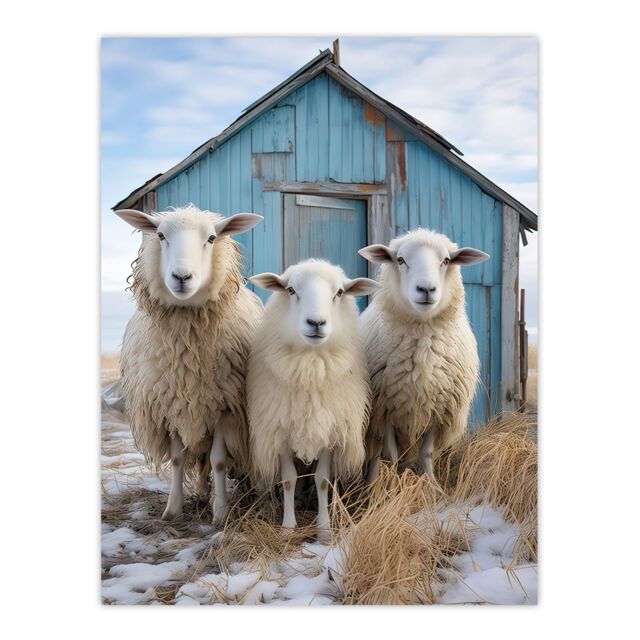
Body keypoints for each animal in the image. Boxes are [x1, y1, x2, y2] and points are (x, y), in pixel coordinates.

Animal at [114, 205, 264, 524]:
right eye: (160, 235)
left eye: (211, 238)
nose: (182, 277)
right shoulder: (168, 406)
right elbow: (178, 459)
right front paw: (173, 509)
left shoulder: (225, 407)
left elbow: (219, 461)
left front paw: (220, 513)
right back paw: (201, 490)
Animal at [247, 260, 381, 539]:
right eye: (290, 290)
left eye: (339, 292)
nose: (316, 322)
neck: (310, 366)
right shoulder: (280, 431)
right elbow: (288, 480)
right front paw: (288, 527)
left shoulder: (330, 432)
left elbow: (323, 480)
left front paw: (324, 529)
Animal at [358, 228, 489, 482]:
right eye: (400, 260)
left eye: (446, 260)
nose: (426, 289)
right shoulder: (384, 411)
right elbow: (391, 455)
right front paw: (393, 486)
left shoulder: (441, 410)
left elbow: (426, 454)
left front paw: (431, 485)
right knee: (376, 456)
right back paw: (370, 485)